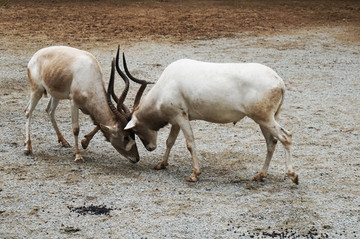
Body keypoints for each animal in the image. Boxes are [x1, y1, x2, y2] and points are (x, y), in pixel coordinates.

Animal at [121, 57, 298, 184]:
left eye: (134, 130)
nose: (150, 148)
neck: (165, 85)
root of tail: (279, 82)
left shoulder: (180, 116)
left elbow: (190, 143)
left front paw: (194, 174)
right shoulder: (177, 119)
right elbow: (170, 141)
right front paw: (161, 164)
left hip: (264, 118)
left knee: (285, 137)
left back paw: (292, 175)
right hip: (265, 119)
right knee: (271, 142)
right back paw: (260, 175)